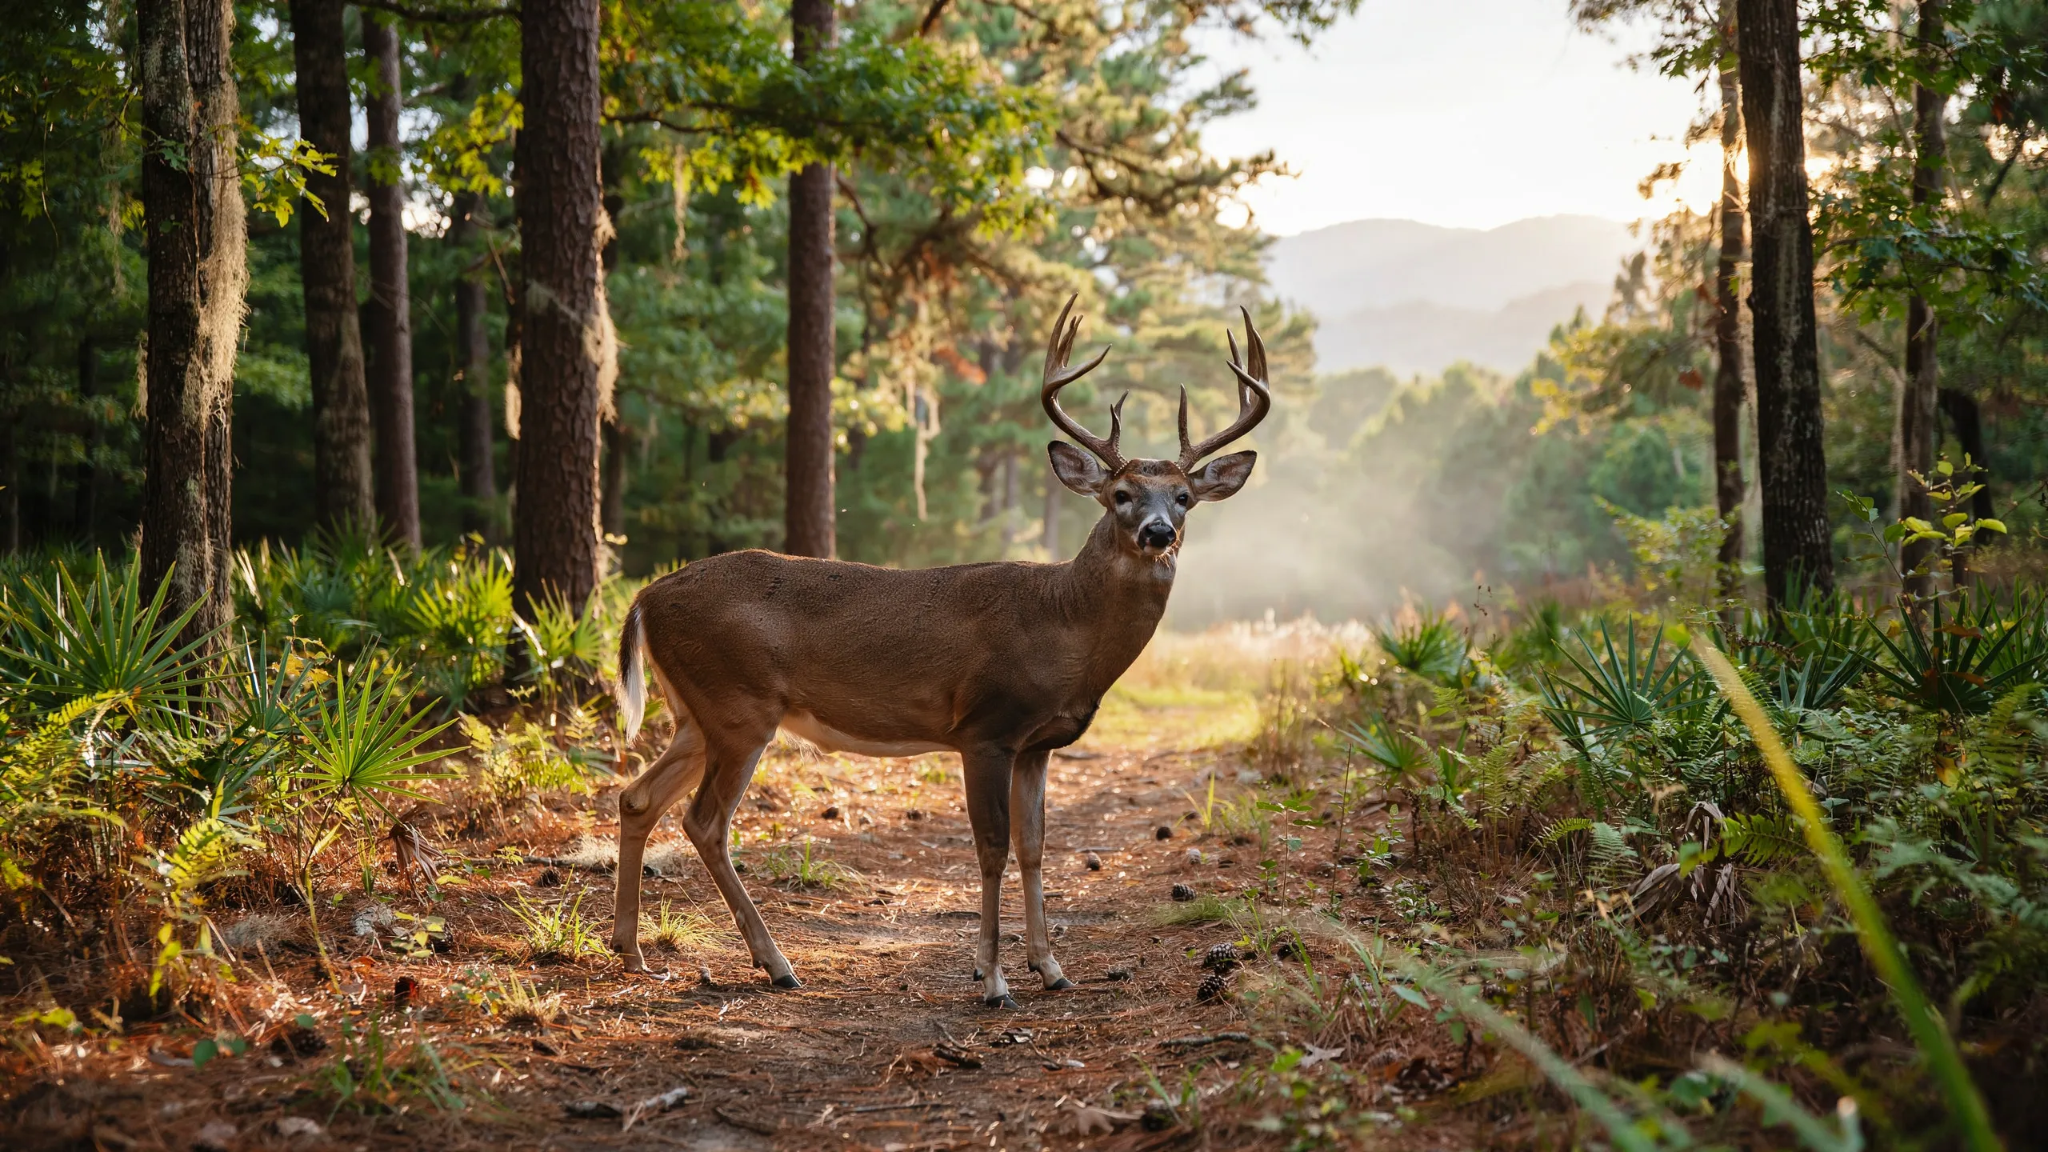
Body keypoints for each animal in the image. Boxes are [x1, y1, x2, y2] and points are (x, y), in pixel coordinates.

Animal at [610, 297, 1272, 1007]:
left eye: (1184, 498)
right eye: (1121, 495)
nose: (1157, 532)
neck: (1063, 623)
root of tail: (645, 596)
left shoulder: (1037, 744)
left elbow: (1036, 847)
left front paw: (1051, 968)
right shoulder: (985, 728)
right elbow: (992, 848)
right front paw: (993, 978)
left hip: (697, 713)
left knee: (637, 797)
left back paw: (630, 951)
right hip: (739, 707)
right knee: (705, 821)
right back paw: (775, 962)